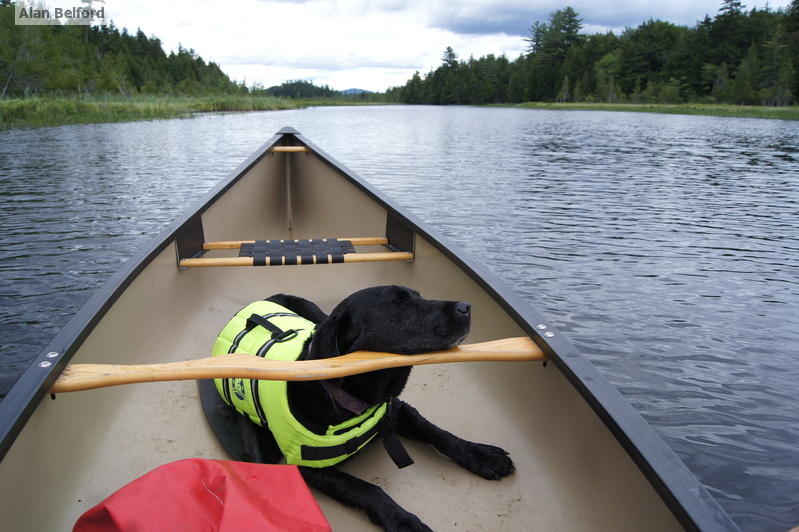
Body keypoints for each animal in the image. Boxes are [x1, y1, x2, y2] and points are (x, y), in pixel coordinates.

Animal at [250, 288, 516, 528]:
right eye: (399, 302)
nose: (466, 306)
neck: (354, 400)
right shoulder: (307, 464)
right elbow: (367, 488)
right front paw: (403, 521)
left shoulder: (398, 410)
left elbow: (439, 433)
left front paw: (481, 455)